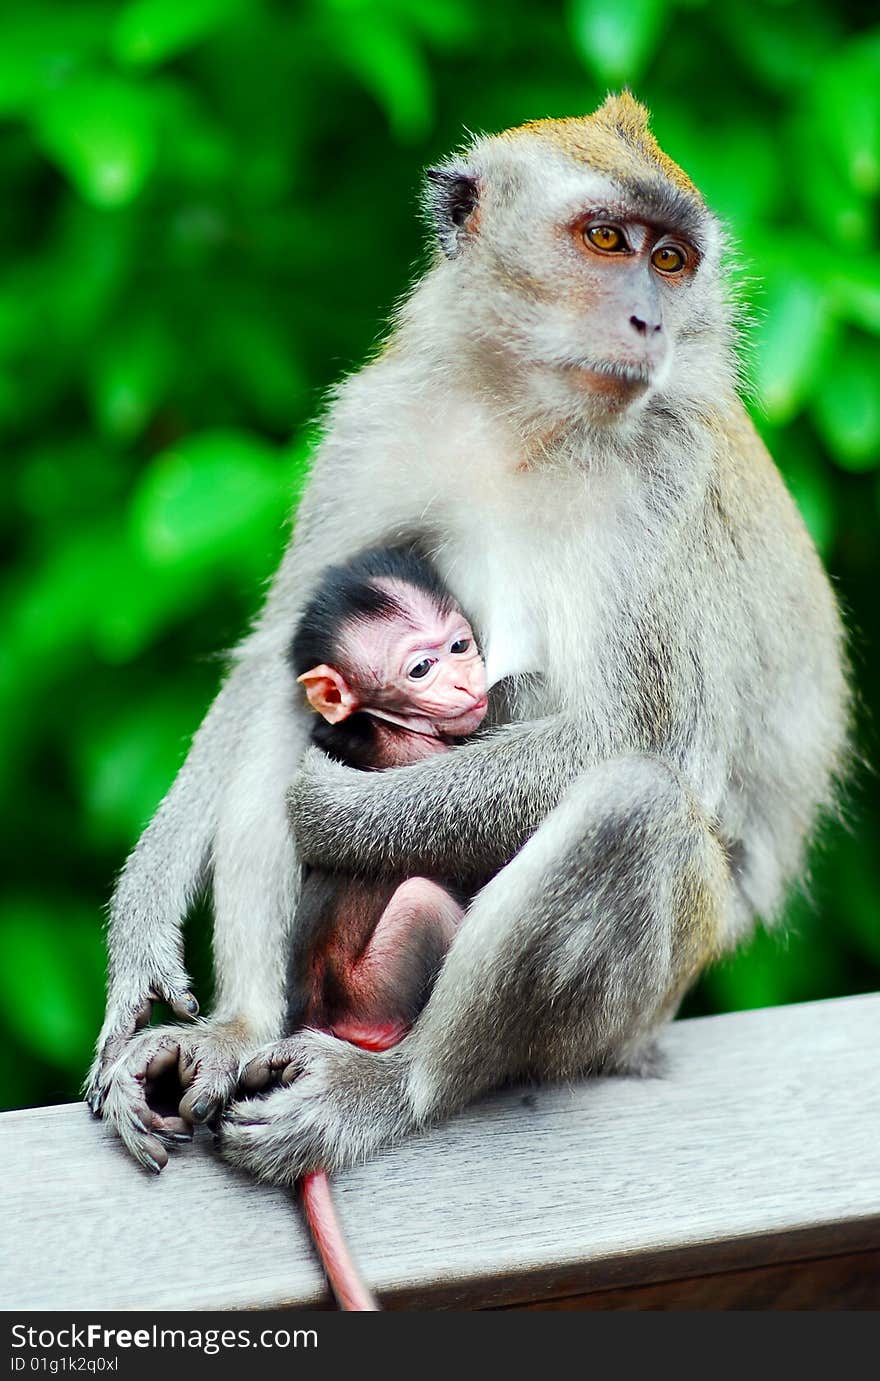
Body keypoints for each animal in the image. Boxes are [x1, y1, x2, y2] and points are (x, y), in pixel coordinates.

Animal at [87, 94, 845, 1176]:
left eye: (671, 261)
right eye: (606, 240)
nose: (650, 320)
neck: (531, 415)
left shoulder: (668, 477)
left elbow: (647, 743)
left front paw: (341, 810)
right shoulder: (376, 420)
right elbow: (273, 651)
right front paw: (142, 930)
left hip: (624, 1015)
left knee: (632, 809)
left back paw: (393, 1086)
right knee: (285, 699)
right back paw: (238, 1031)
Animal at [243, 544, 486, 1309]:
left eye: (459, 645)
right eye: (420, 668)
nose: (467, 676)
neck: (388, 725)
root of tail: (317, 1013)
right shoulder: (427, 760)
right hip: (372, 989)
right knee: (426, 899)